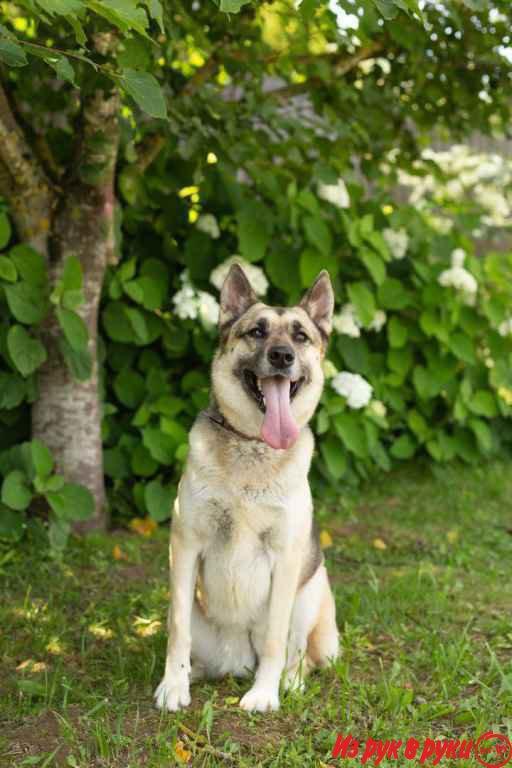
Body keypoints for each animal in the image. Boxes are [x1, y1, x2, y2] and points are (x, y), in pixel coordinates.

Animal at [156, 264, 340, 712]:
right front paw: (173, 686)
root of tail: (234, 662)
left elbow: (276, 638)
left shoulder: (286, 557)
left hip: (313, 589)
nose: (282, 356)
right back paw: (196, 674)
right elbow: (177, 630)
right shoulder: (184, 546)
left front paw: (265, 693)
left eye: (300, 336)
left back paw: (288, 682)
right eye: (257, 331)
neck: (253, 446)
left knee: (300, 654)